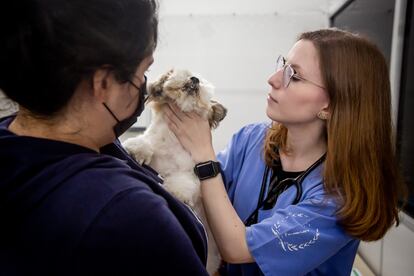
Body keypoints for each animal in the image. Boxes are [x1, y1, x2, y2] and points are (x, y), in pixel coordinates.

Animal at [123, 68, 226, 274]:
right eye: (186, 72)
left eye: (202, 82)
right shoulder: (155, 142)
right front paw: (137, 149)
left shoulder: (192, 171)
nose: (194, 79)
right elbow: (147, 142)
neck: (172, 141)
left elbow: (183, 181)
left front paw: (176, 192)